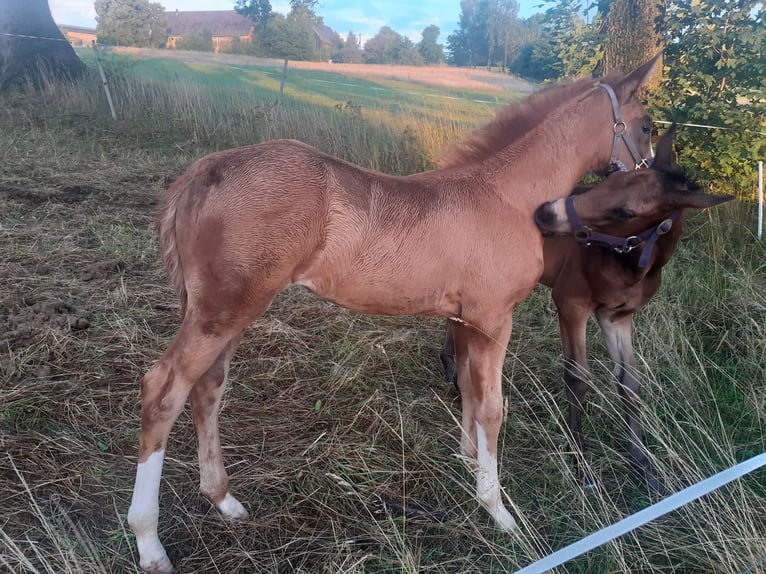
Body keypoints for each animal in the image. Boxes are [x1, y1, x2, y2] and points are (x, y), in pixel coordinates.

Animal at [127, 56, 660, 572]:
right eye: (648, 126)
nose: (654, 182)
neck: (507, 195)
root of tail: (202, 170)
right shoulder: (492, 319)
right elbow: (492, 408)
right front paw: (499, 512)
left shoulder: (463, 320)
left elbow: (468, 391)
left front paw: (469, 464)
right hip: (223, 310)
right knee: (163, 390)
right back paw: (150, 543)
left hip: (229, 313)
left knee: (207, 389)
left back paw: (224, 500)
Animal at [444, 126, 736, 496]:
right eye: (611, 178)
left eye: (625, 212)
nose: (545, 213)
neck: (629, 266)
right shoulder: (571, 303)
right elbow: (578, 376)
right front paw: (581, 464)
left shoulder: (618, 317)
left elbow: (629, 382)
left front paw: (643, 466)